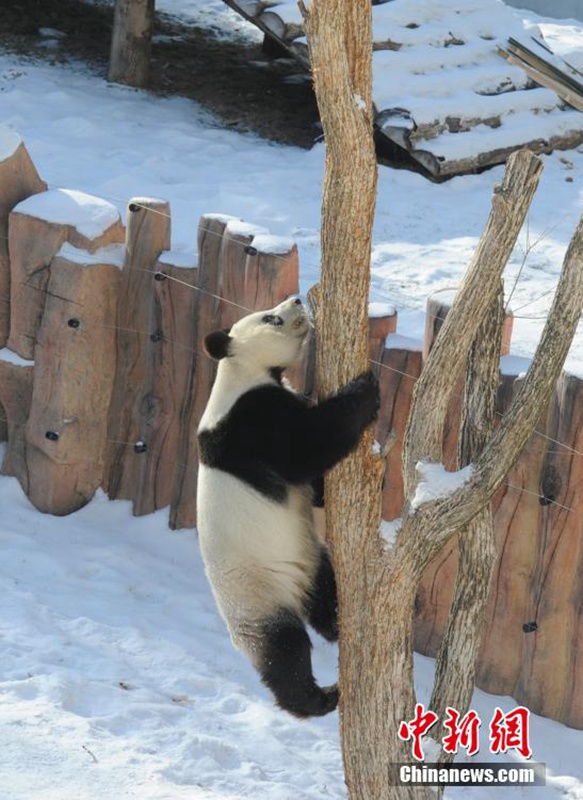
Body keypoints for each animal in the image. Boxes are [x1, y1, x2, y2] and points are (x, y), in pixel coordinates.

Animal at [196, 296, 378, 720]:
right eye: (271, 318)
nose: (297, 299)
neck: (241, 370)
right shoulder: (249, 422)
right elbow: (307, 446)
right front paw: (365, 387)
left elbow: (312, 484)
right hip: (257, 595)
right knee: (284, 651)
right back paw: (317, 698)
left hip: (308, 560)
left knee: (325, 592)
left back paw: (337, 623)